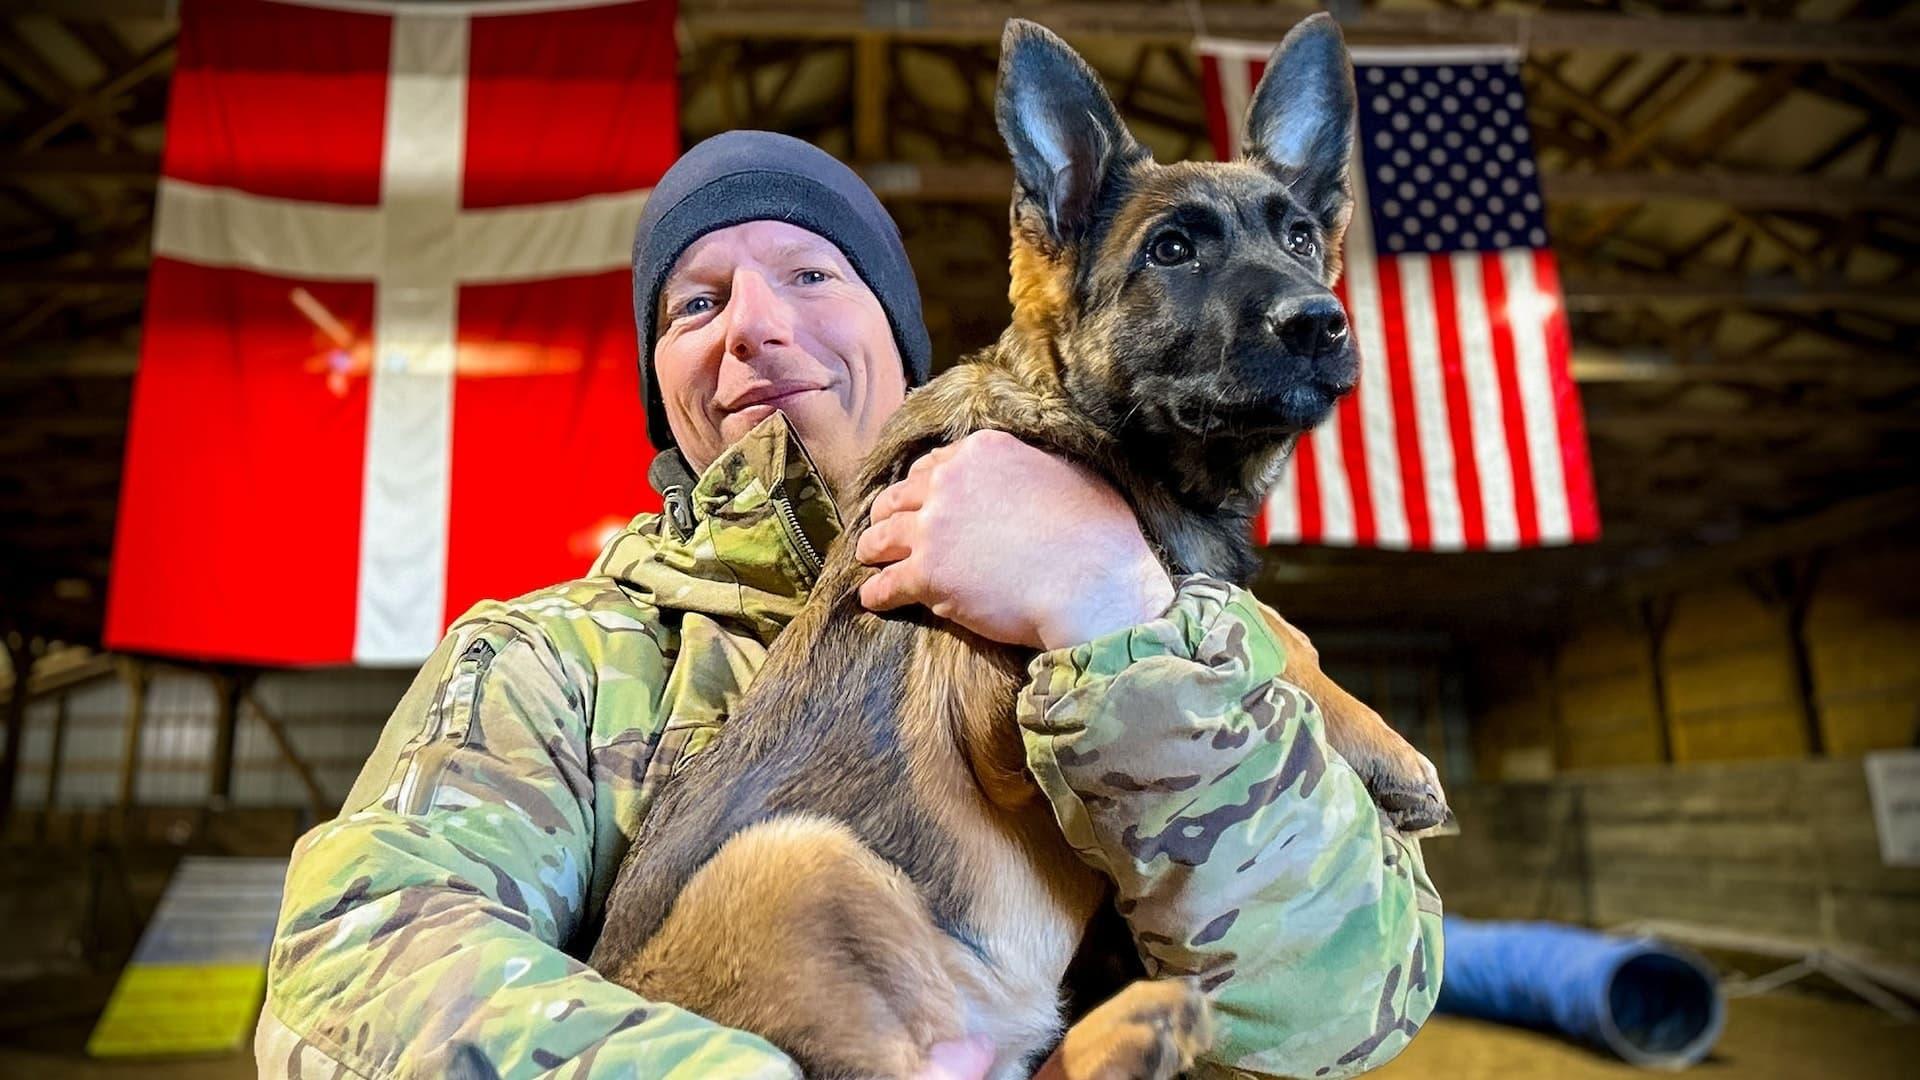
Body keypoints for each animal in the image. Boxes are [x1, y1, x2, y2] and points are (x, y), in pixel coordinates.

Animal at [591, 16, 1443, 1076]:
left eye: (1298, 240)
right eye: (1170, 250)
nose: (1321, 322)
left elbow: (1244, 608)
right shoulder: (997, 702)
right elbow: (1257, 618)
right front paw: (1388, 744)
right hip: (800, 856)